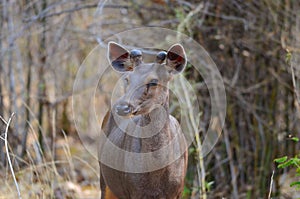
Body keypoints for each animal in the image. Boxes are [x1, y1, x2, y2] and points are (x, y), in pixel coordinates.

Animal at [98, 42, 188, 199]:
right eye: (127, 79)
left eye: (153, 81)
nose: (122, 107)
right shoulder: (132, 190)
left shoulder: (177, 191)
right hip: (104, 178)